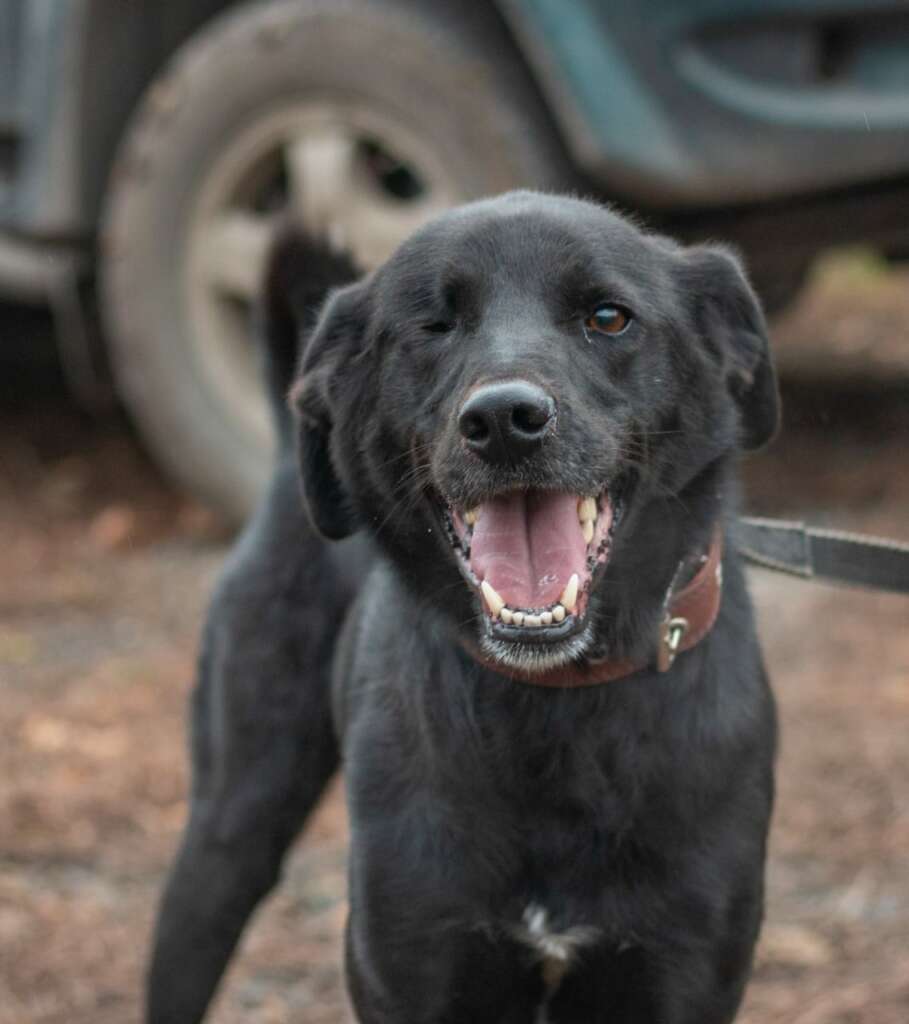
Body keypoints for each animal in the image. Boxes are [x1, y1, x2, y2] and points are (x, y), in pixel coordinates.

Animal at [147, 192, 773, 1024]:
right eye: (433, 325)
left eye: (608, 317)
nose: (504, 420)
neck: (557, 706)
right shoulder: (413, 971)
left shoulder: (679, 976)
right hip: (228, 831)